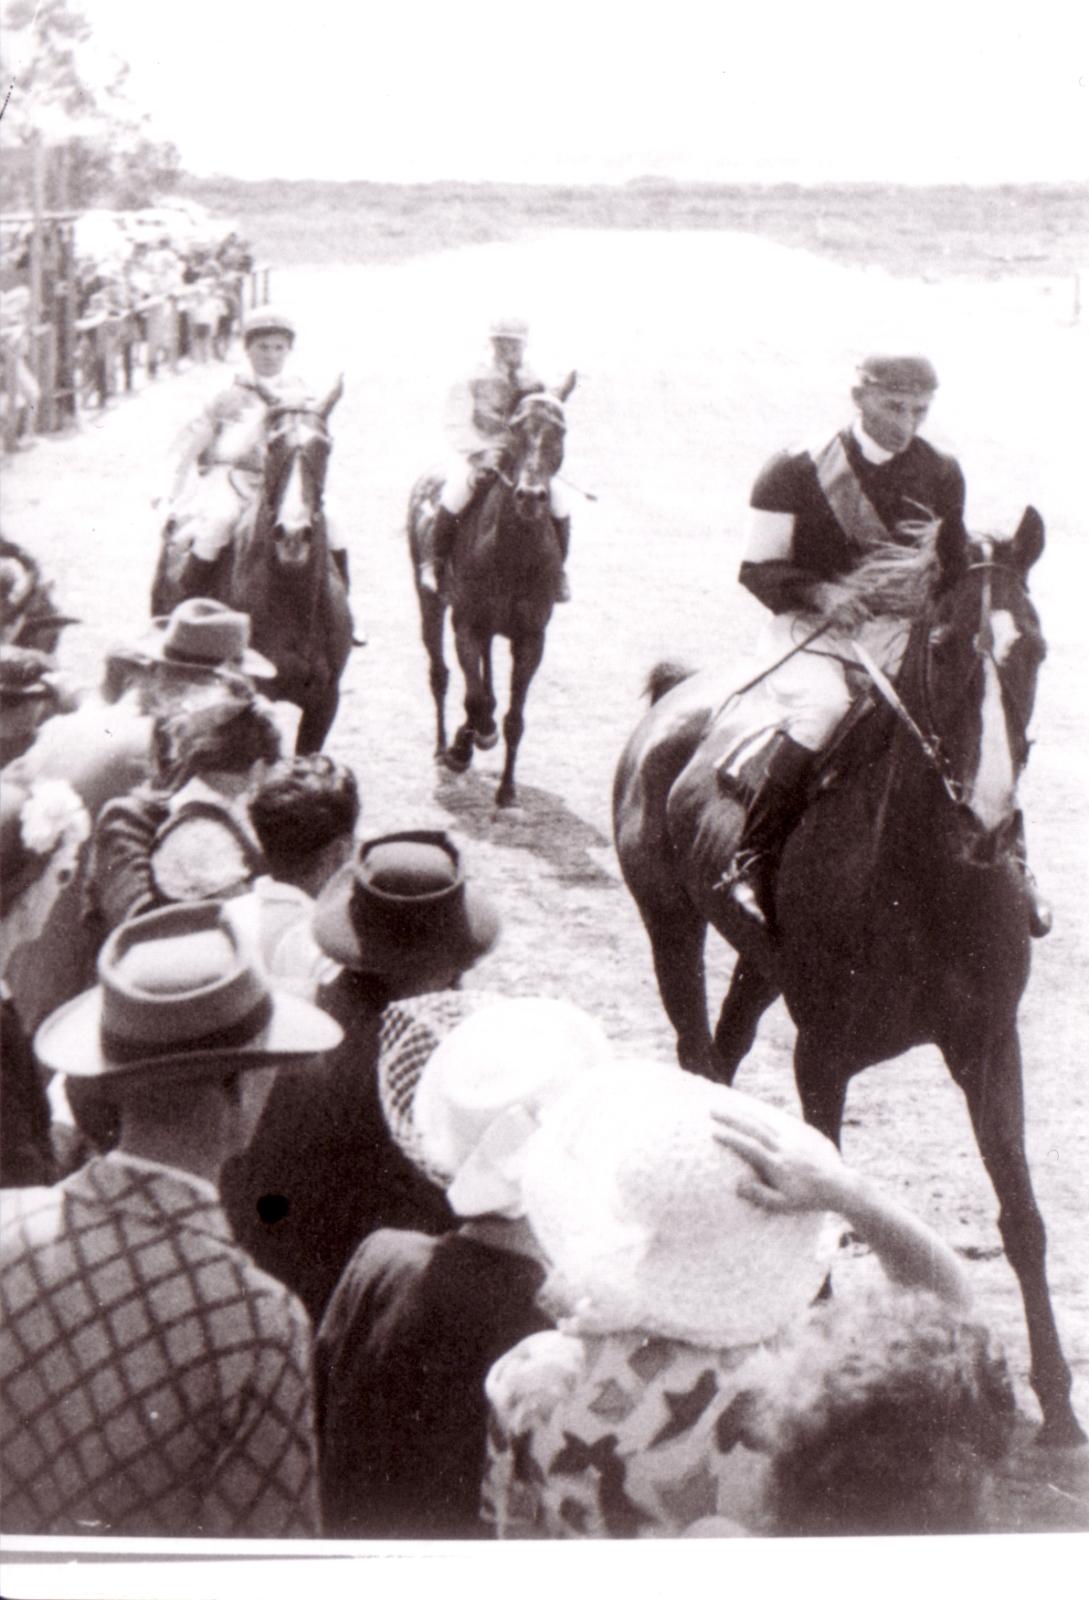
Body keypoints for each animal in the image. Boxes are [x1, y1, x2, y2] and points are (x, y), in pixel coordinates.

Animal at [406, 379, 572, 806]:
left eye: (560, 432)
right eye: (516, 428)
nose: (530, 496)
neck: (513, 553)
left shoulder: (531, 638)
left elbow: (513, 717)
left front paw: (507, 788)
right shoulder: (466, 623)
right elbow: (475, 698)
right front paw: (466, 745)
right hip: (430, 602)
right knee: (441, 674)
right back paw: (445, 744)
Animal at [610, 515, 1081, 1452]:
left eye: (1035, 648)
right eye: (941, 647)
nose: (989, 820)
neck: (926, 883)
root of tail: (676, 698)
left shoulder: (986, 1047)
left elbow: (1022, 1219)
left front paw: (1057, 1404)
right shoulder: (820, 1053)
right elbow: (819, 1194)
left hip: (757, 969)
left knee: (723, 1051)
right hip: (670, 928)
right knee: (695, 1051)